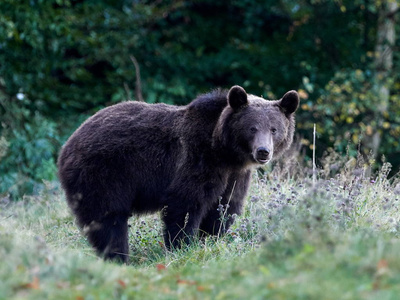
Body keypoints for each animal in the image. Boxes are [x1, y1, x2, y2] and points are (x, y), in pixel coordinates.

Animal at [57, 85, 298, 262]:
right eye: (252, 128)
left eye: (274, 129)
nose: (263, 151)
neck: (224, 151)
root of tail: (68, 144)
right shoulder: (197, 160)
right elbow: (185, 206)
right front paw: (182, 246)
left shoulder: (235, 176)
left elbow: (225, 207)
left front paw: (211, 239)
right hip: (104, 173)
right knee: (108, 219)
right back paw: (117, 256)